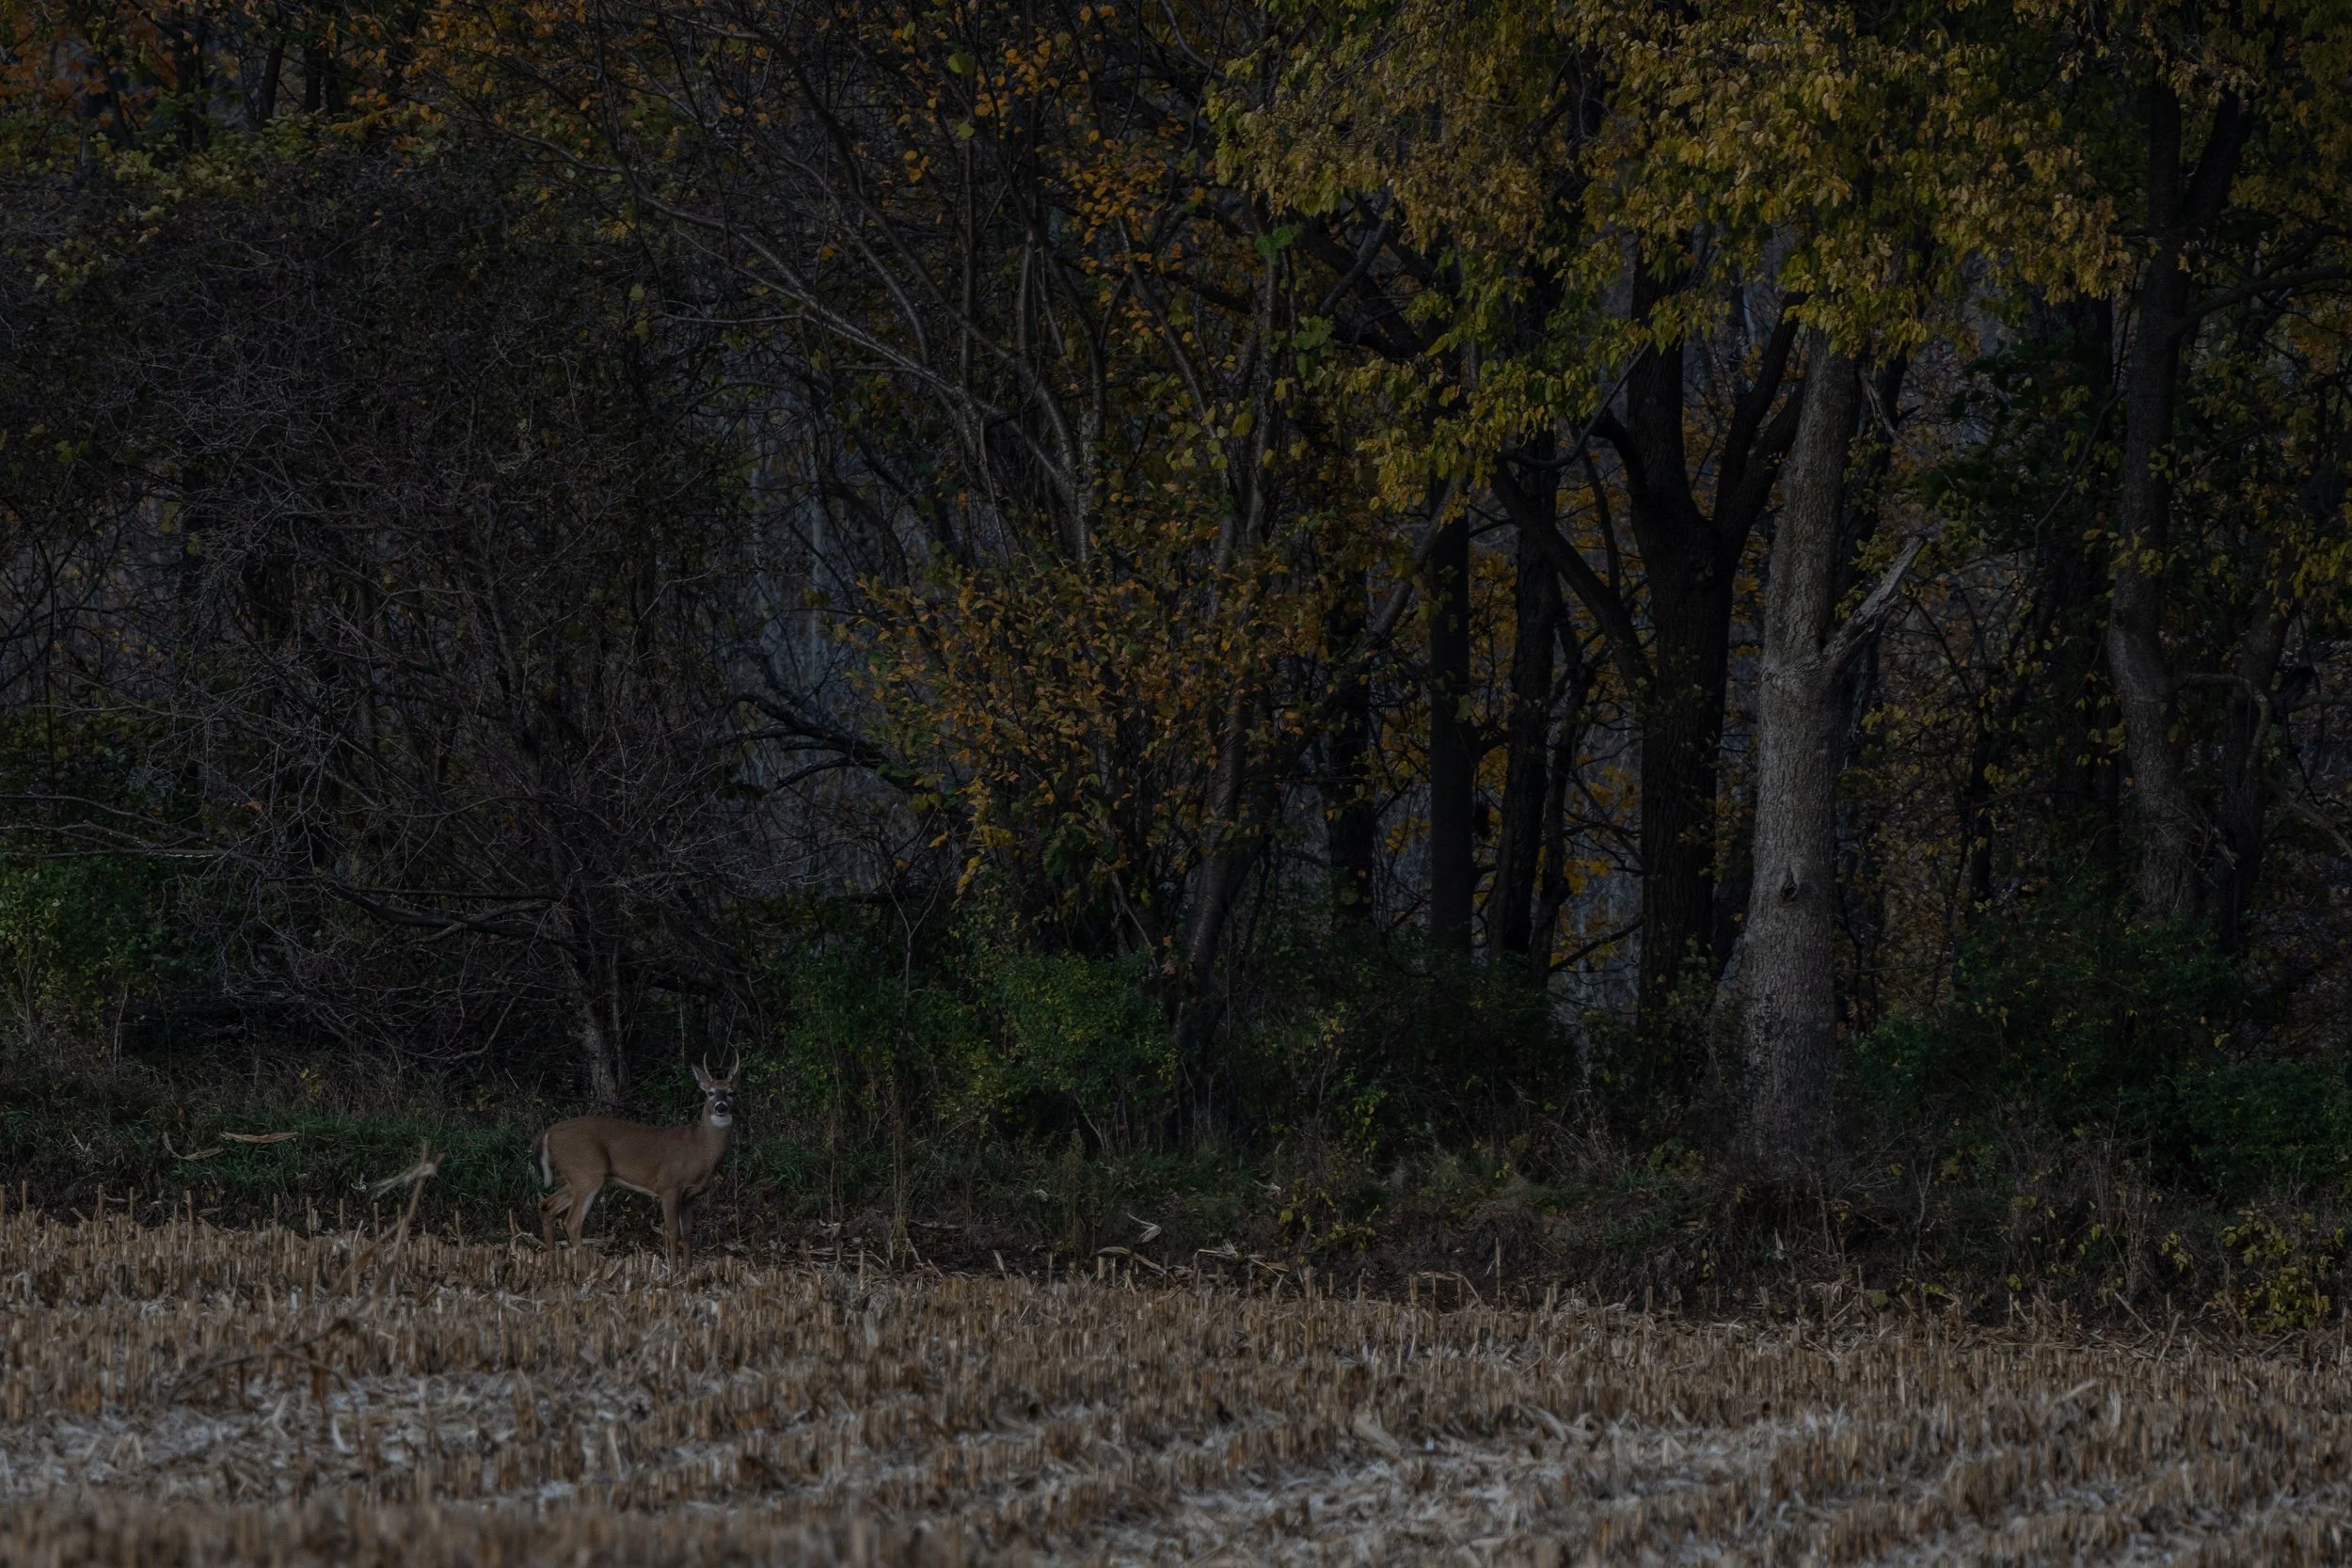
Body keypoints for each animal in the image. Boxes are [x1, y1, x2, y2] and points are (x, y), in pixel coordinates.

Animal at [535, 1056, 739, 1264]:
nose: (721, 1107)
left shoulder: (690, 1195)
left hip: (575, 1177)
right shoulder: (669, 1186)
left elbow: (688, 1232)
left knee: (546, 1206)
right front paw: (674, 1269)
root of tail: (547, 1133)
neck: (700, 1150)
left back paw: (552, 1260)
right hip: (586, 1173)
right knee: (572, 1222)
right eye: (710, 1093)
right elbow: (672, 1231)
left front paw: (688, 1268)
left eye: (731, 1093)